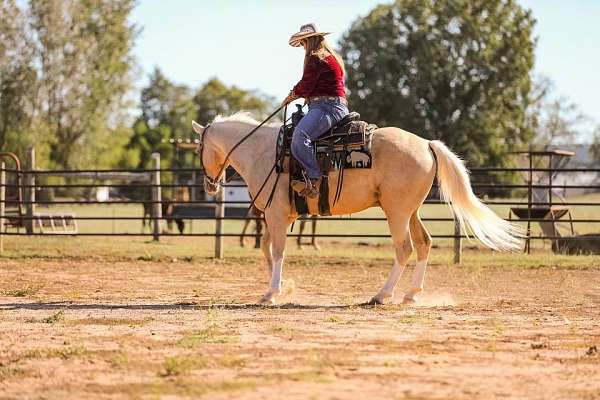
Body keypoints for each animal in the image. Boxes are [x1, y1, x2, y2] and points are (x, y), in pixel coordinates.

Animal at [192, 111, 520, 304]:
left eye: (199, 148)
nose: (209, 184)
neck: (264, 150)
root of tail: (427, 144)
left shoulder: (276, 214)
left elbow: (276, 251)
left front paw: (272, 292)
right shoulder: (279, 217)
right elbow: (266, 249)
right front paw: (283, 287)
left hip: (396, 213)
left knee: (404, 248)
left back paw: (382, 295)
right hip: (410, 211)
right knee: (424, 243)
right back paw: (411, 294)